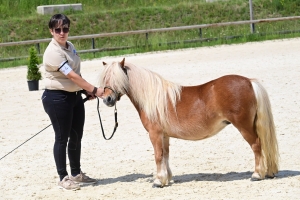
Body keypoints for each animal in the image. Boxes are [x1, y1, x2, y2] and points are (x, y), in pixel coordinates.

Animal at [98, 57, 278, 188]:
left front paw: (158, 181)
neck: (153, 99)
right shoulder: (164, 136)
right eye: (104, 79)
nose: (107, 99)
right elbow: (165, 155)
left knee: (256, 145)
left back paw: (257, 175)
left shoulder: (155, 134)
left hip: (244, 126)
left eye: (117, 79)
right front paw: (167, 179)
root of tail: (249, 82)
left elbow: (158, 156)